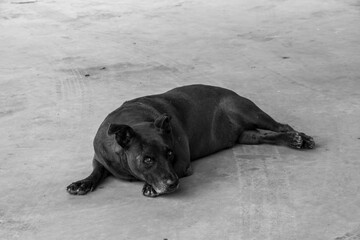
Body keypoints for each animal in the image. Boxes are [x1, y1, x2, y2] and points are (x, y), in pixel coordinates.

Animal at [66, 84, 314, 197]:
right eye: (147, 159)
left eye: (170, 154)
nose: (173, 184)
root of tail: (232, 92)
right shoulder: (100, 158)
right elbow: (96, 171)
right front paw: (83, 182)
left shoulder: (182, 162)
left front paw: (149, 187)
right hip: (247, 136)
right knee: (265, 136)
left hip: (246, 111)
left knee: (282, 126)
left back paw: (300, 138)